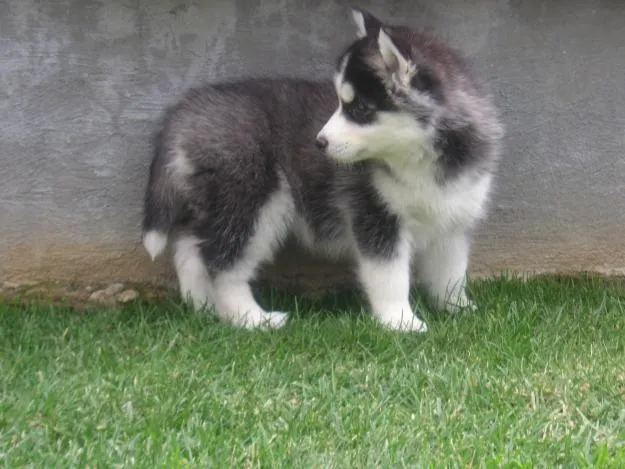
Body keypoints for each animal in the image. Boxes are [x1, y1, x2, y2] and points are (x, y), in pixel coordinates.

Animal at [141, 6, 502, 330]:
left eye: (360, 109)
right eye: (341, 102)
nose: (319, 142)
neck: (420, 158)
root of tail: (187, 109)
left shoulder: (452, 217)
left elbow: (450, 272)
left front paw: (458, 309)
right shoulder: (375, 216)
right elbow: (390, 276)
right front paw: (400, 322)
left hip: (220, 201)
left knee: (190, 247)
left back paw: (203, 307)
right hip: (251, 201)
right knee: (223, 264)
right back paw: (250, 318)